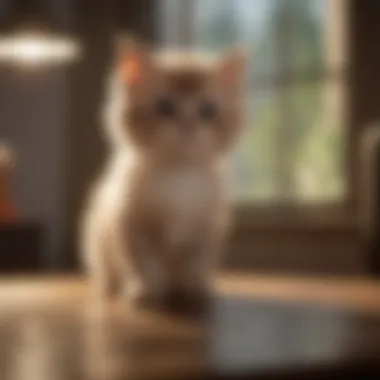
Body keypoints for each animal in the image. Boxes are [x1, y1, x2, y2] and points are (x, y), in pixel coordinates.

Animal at [81, 40, 245, 308]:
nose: (187, 126)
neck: (177, 173)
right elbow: (143, 263)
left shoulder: (209, 227)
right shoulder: (130, 224)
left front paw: (194, 288)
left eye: (207, 110)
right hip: (96, 239)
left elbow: (197, 263)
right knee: (105, 270)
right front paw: (146, 290)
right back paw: (111, 287)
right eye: (165, 108)